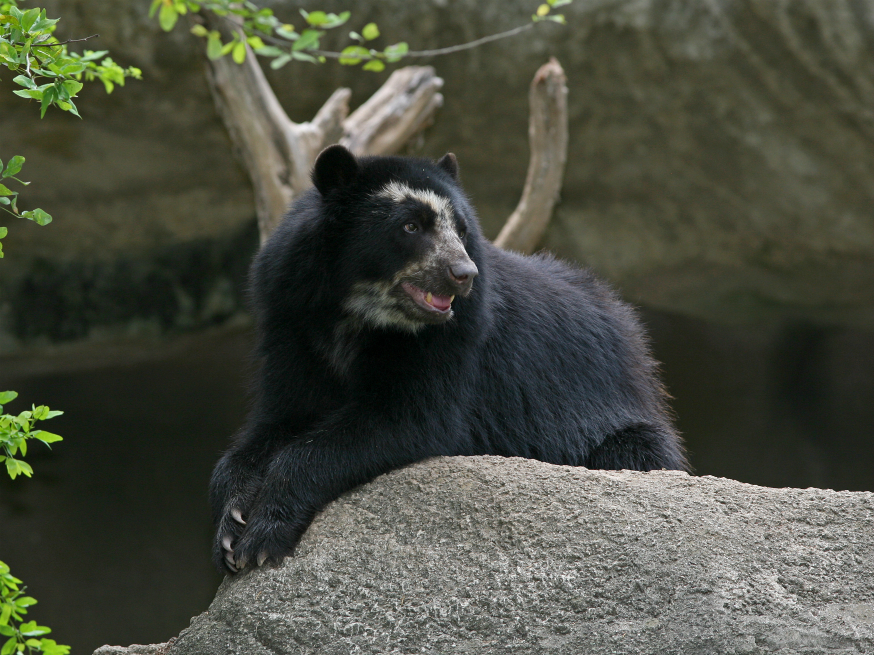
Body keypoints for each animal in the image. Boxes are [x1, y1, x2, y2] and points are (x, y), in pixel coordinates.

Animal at [210, 145, 687, 573]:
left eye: (461, 228)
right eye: (409, 225)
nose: (463, 274)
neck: (356, 312)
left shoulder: (454, 340)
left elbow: (407, 419)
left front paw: (263, 535)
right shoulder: (290, 319)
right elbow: (278, 419)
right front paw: (232, 523)